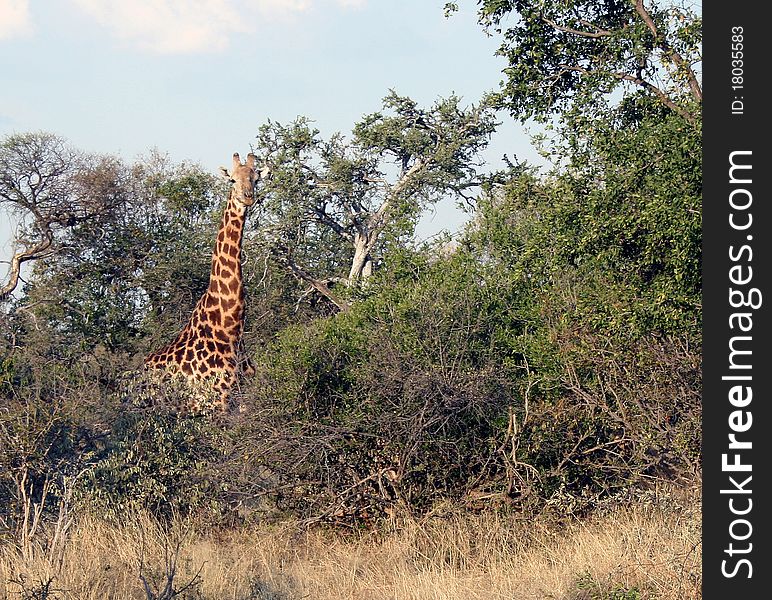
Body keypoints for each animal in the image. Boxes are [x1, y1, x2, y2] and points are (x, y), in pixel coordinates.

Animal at [143, 152, 266, 414]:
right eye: (232, 180)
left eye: (256, 179)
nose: (247, 197)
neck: (229, 327)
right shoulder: (216, 403)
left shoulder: (243, 400)